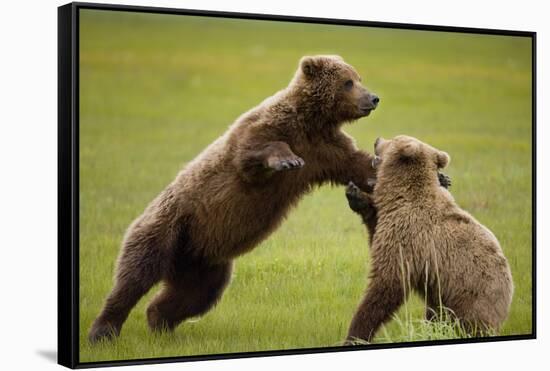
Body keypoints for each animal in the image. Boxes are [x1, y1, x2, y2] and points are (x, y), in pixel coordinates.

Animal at [348, 135, 516, 344]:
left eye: (394, 138)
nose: (377, 139)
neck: (401, 195)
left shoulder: (409, 236)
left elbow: (388, 283)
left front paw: (356, 333)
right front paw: (356, 196)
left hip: (471, 297)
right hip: (441, 298)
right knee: (436, 317)